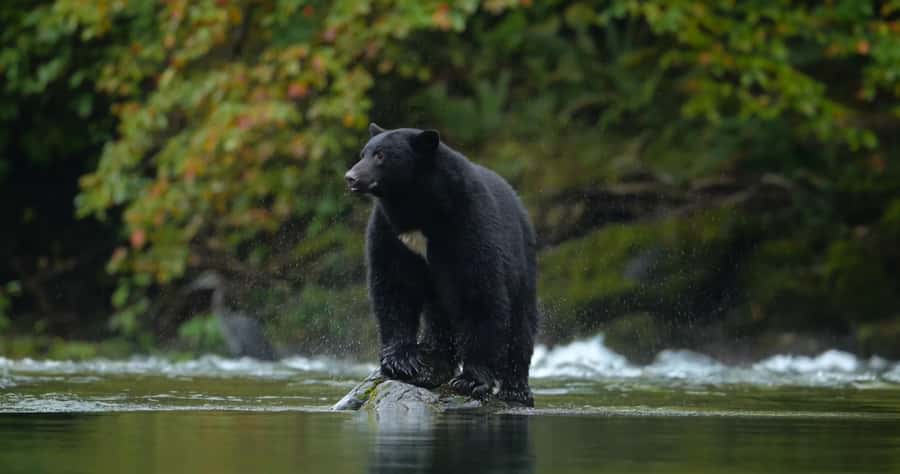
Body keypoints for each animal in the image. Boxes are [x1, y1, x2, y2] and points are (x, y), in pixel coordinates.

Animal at [344, 123, 538, 406]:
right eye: (363, 153)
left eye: (380, 155)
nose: (351, 177)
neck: (420, 211)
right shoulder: (389, 232)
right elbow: (393, 286)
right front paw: (401, 361)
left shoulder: (469, 222)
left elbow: (479, 291)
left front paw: (471, 379)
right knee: (439, 313)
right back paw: (434, 356)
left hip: (523, 262)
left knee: (521, 320)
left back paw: (516, 388)